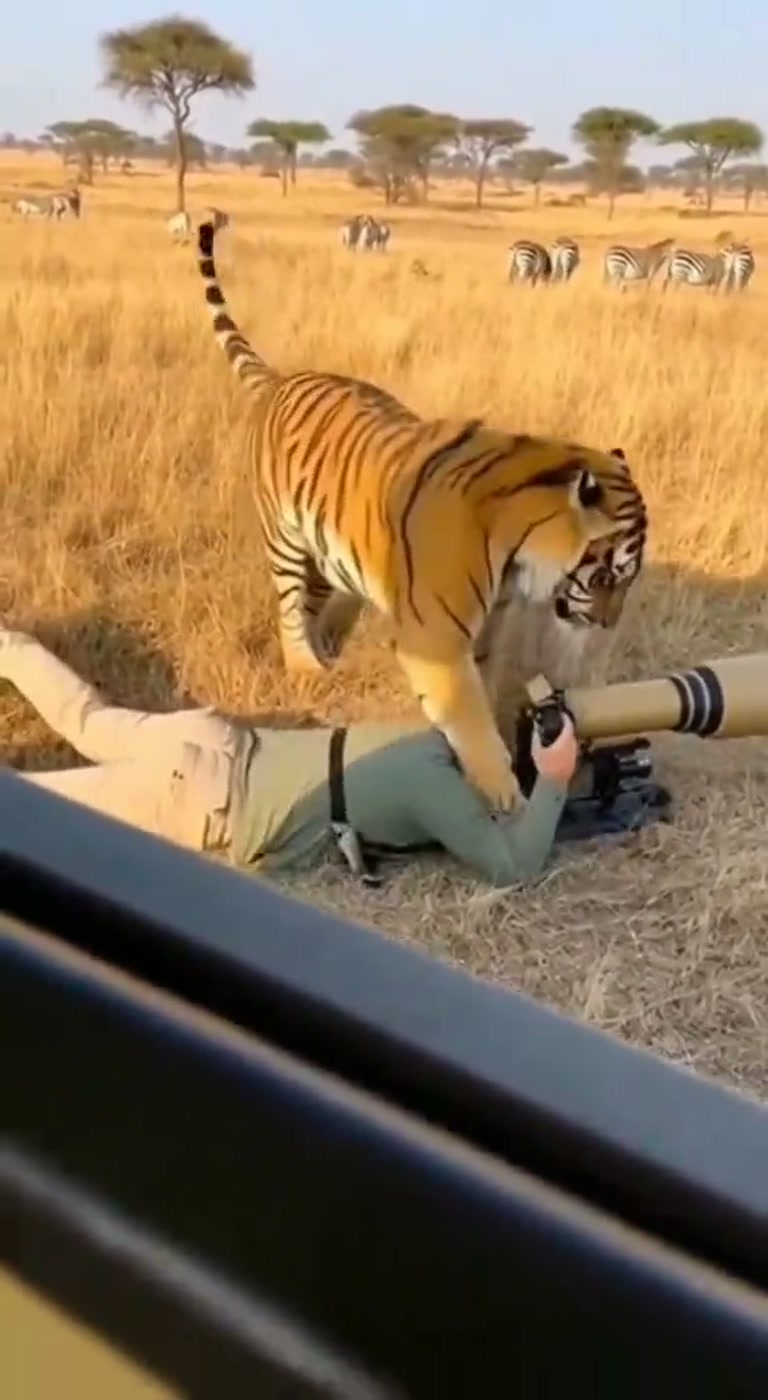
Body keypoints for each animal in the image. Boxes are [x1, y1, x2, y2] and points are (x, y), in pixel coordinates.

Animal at [197, 219, 647, 813]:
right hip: (288, 540)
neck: (517, 555)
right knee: (290, 609)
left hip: (325, 551)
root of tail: (280, 380)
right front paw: (506, 793)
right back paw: (308, 668)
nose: (608, 625)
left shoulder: (485, 631)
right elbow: (469, 717)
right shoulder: (437, 641)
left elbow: (482, 693)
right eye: (606, 576)